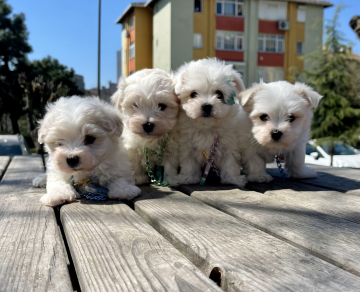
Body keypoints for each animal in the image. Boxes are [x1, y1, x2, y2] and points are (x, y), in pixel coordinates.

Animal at [174, 58, 248, 188]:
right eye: (193, 94)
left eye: (219, 94)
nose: (207, 106)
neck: (207, 127)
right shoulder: (187, 144)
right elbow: (189, 161)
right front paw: (188, 177)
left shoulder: (230, 143)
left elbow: (230, 161)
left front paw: (232, 178)